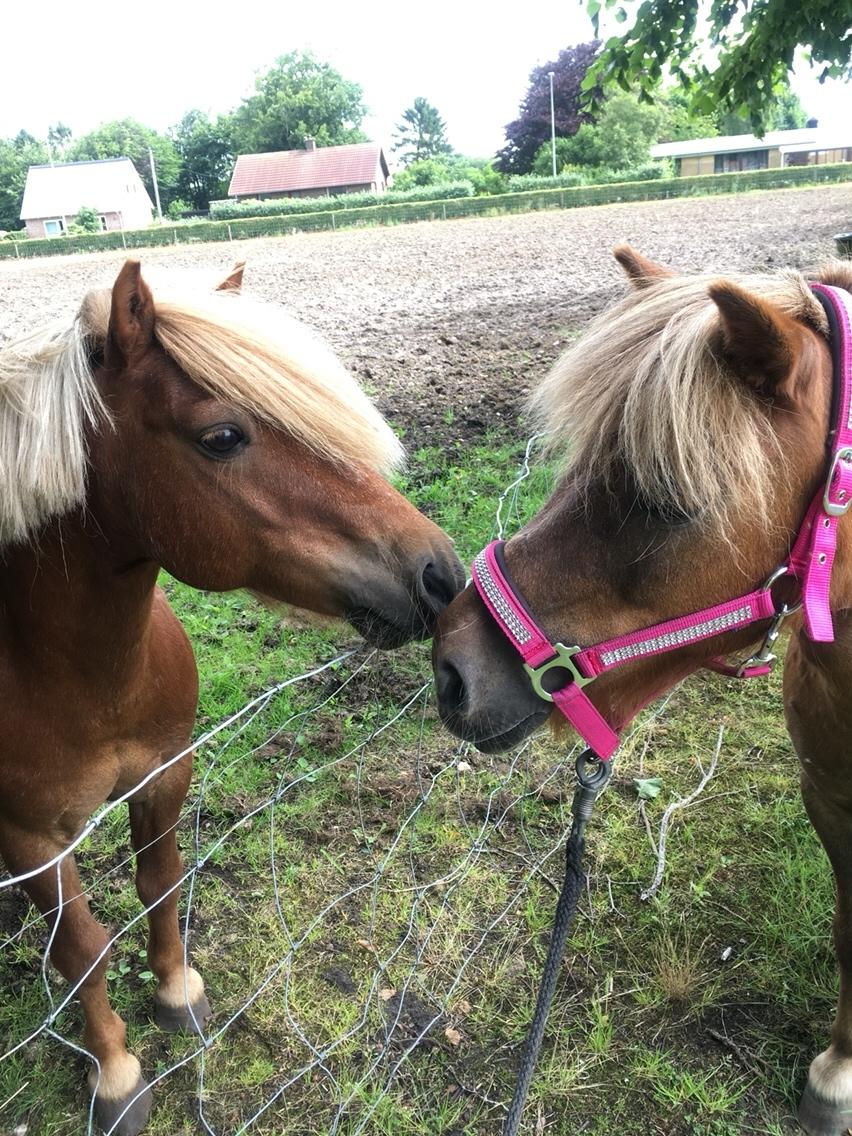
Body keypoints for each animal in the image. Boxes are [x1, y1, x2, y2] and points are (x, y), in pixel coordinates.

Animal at [0, 260, 463, 1136]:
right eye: (222, 436)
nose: (440, 575)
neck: (83, 680)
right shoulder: (31, 839)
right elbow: (81, 949)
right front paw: (115, 1072)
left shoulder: (163, 774)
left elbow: (161, 884)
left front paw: (178, 990)